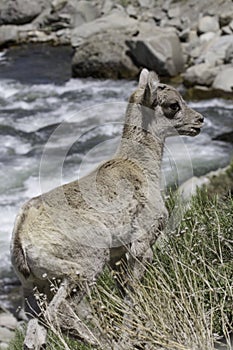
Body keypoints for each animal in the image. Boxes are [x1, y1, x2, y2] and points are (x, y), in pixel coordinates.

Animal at [11, 69, 204, 350]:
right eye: (172, 105)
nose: (199, 121)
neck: (141, 168)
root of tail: (21, 237)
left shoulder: (118, 258)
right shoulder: (140, 249)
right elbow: (131, 296)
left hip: (38, 288)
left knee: (35, 333)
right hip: (83, 269)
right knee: (60, 313)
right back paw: (101, 341)